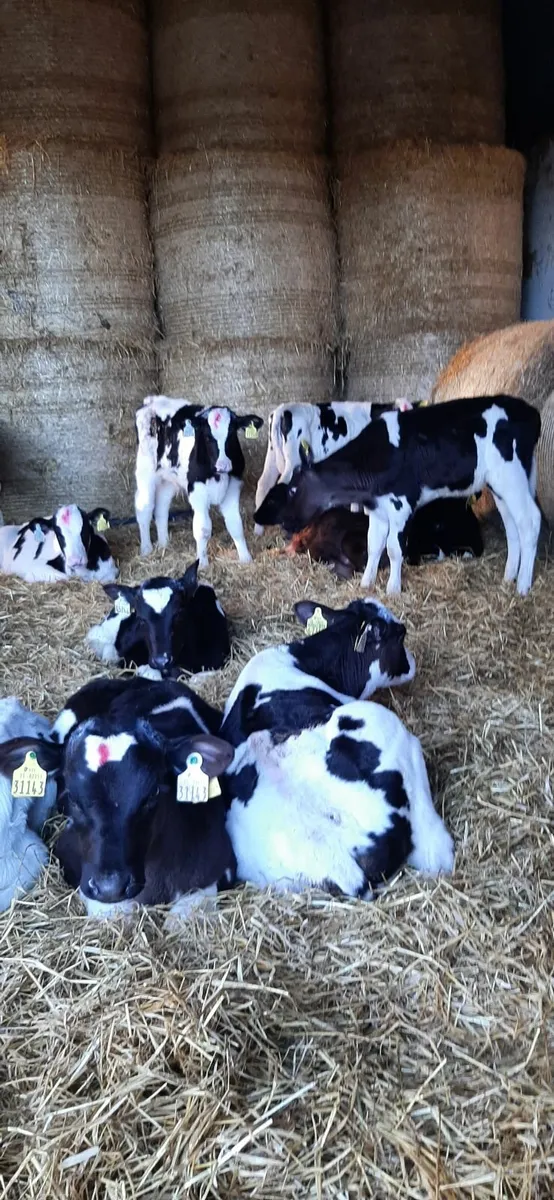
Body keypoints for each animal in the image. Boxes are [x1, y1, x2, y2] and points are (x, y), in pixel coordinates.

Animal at [134, 396, 264, 566]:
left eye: (231, 433)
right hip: (145, 471)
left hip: (168, 479)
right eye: (207, 436)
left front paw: (245, 558)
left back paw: (164, 544)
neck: (217, 475)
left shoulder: (233, 486)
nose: (223, 465)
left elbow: (235, 524)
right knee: (144, 508)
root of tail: (152, 400)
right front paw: (202, 563)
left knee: (161, 508)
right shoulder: (197, 490)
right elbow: (203, 530)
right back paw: (146, 549)